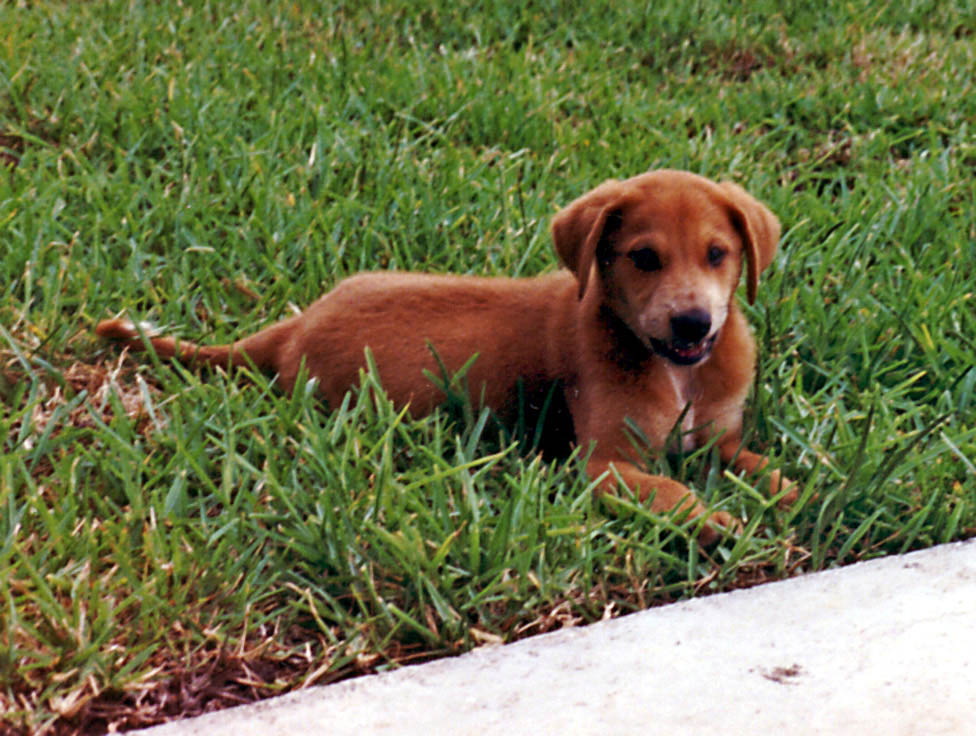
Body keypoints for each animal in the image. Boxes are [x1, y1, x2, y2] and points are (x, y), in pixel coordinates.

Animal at [97, 170, 792, 544]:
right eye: (644, 258)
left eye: (717, 254)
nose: (693, 321)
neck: (676, 370)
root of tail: (293, 328)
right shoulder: (607, 464)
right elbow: (672, 493)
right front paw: (720, 522)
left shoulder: (718, 439)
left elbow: (760, 466)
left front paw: (789, 492)